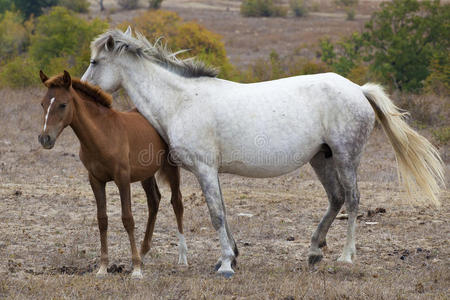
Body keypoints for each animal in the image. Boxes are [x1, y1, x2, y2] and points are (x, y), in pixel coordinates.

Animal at [37, 70, 185, 278]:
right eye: (42, 104)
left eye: (63, 104)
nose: (45, 139)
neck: (103, 134)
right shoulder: (95, 180)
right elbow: (102, 219)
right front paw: (103, 267)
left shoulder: (122, 178)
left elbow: (127, 219)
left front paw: (136, 269)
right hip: (146, 173)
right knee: (154, 201)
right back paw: (143, 252)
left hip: (171, 166)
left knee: (177, 202)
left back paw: (181, 258)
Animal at [81, 28, 446, 278]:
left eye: (96, 62)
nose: (85, 93)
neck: (182, 100)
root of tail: (358, 89)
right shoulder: (210, 172)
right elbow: (223, 212)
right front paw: (229, 256)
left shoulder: (204, 168)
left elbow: (216, 215)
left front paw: (226, 265)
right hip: (321, 158)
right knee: (337, 199)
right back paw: (314, 251)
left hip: (346, 157)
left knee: (353, 201)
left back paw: (345, 255)